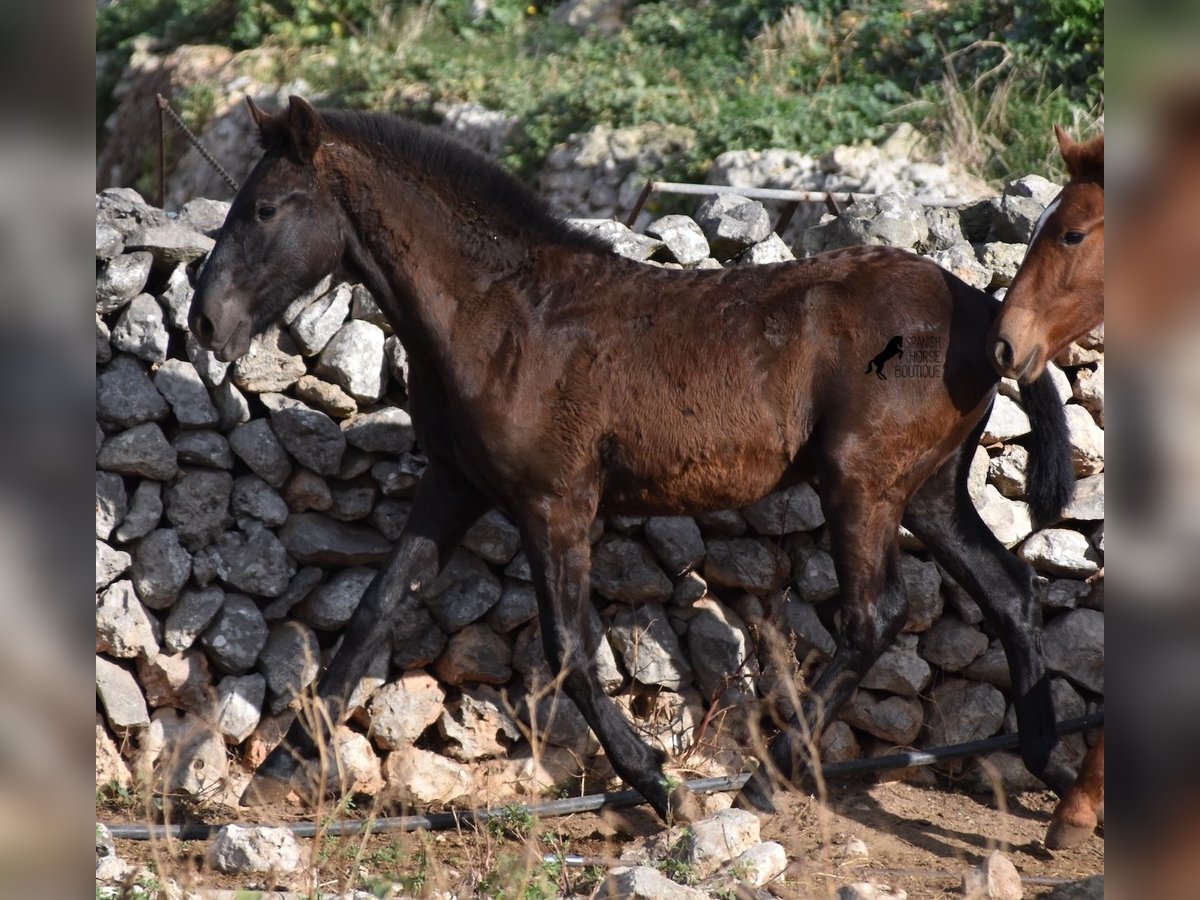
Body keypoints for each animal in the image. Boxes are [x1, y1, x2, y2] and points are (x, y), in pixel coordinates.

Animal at [189, 97, 1080, 825]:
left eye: (266, 207)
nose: (205, 321)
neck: (505, 313)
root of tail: (980, 309)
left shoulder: (554, 502)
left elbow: (569, 653)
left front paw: (659, 788)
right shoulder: (456, 487)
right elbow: (372, 614)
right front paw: (274, 776)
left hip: (861, 483)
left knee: (873, 619)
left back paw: (764, 784)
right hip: (926, 491)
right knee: (1008, 588)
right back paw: (1051, 767)